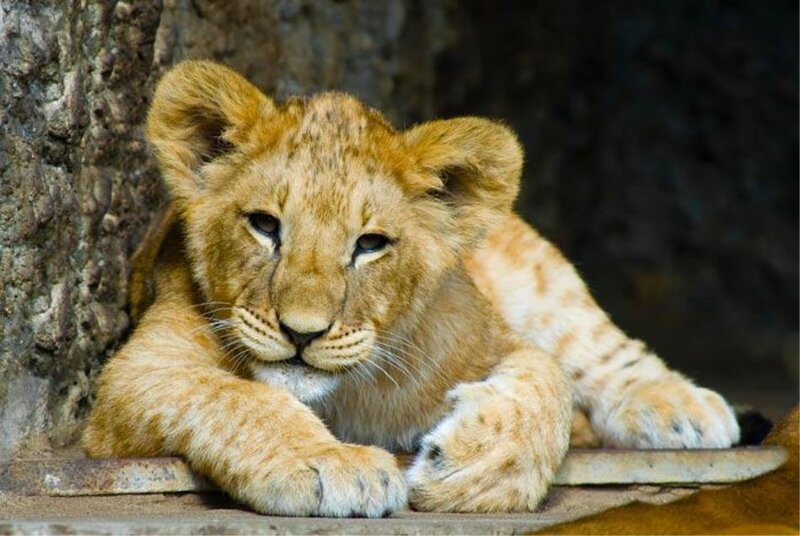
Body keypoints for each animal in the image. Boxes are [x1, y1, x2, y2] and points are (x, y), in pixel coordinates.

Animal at [82, 60, 739, 517]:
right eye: (265, 226)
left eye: (370, 243)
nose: (301, 333)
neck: (341, 398)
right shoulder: (135, 375)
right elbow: (238, 398)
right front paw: (334, 463)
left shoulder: (486, 337)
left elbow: (547, 378)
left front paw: (476, 471)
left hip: (538, 272)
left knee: (598, 347)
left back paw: (683, 409)